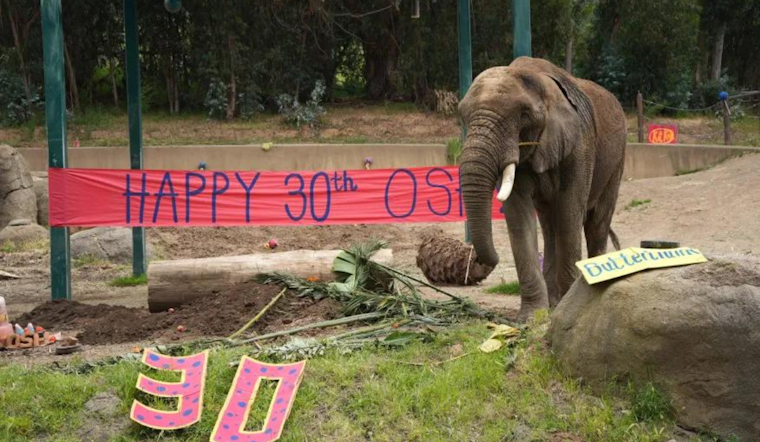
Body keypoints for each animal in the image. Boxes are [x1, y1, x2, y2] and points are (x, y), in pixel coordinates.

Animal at [458, 57, 626, 321]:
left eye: (524, 115)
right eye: (462, 116)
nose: (477, 262)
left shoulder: (580, 145)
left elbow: (569, 212)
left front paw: (568, 311)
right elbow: (519, 217)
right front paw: (531, 318)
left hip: (617, 158)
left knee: (596, 222)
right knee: (549, 225)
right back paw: (553, 302)